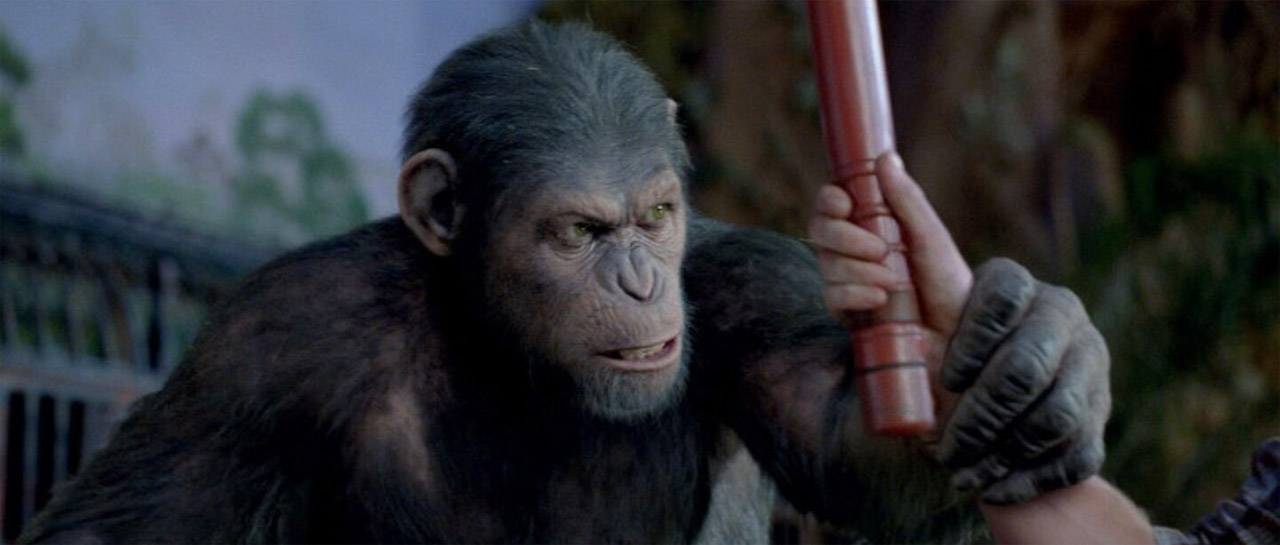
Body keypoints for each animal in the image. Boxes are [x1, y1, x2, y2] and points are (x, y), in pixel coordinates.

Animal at [19, 21, 1111, 543]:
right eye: (577, 231)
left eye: (656, 215)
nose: (636, 282)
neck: (512, 352)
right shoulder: (265, 345)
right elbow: (119, 528)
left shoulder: (741, 287)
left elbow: (853, 446)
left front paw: (1031, 360)